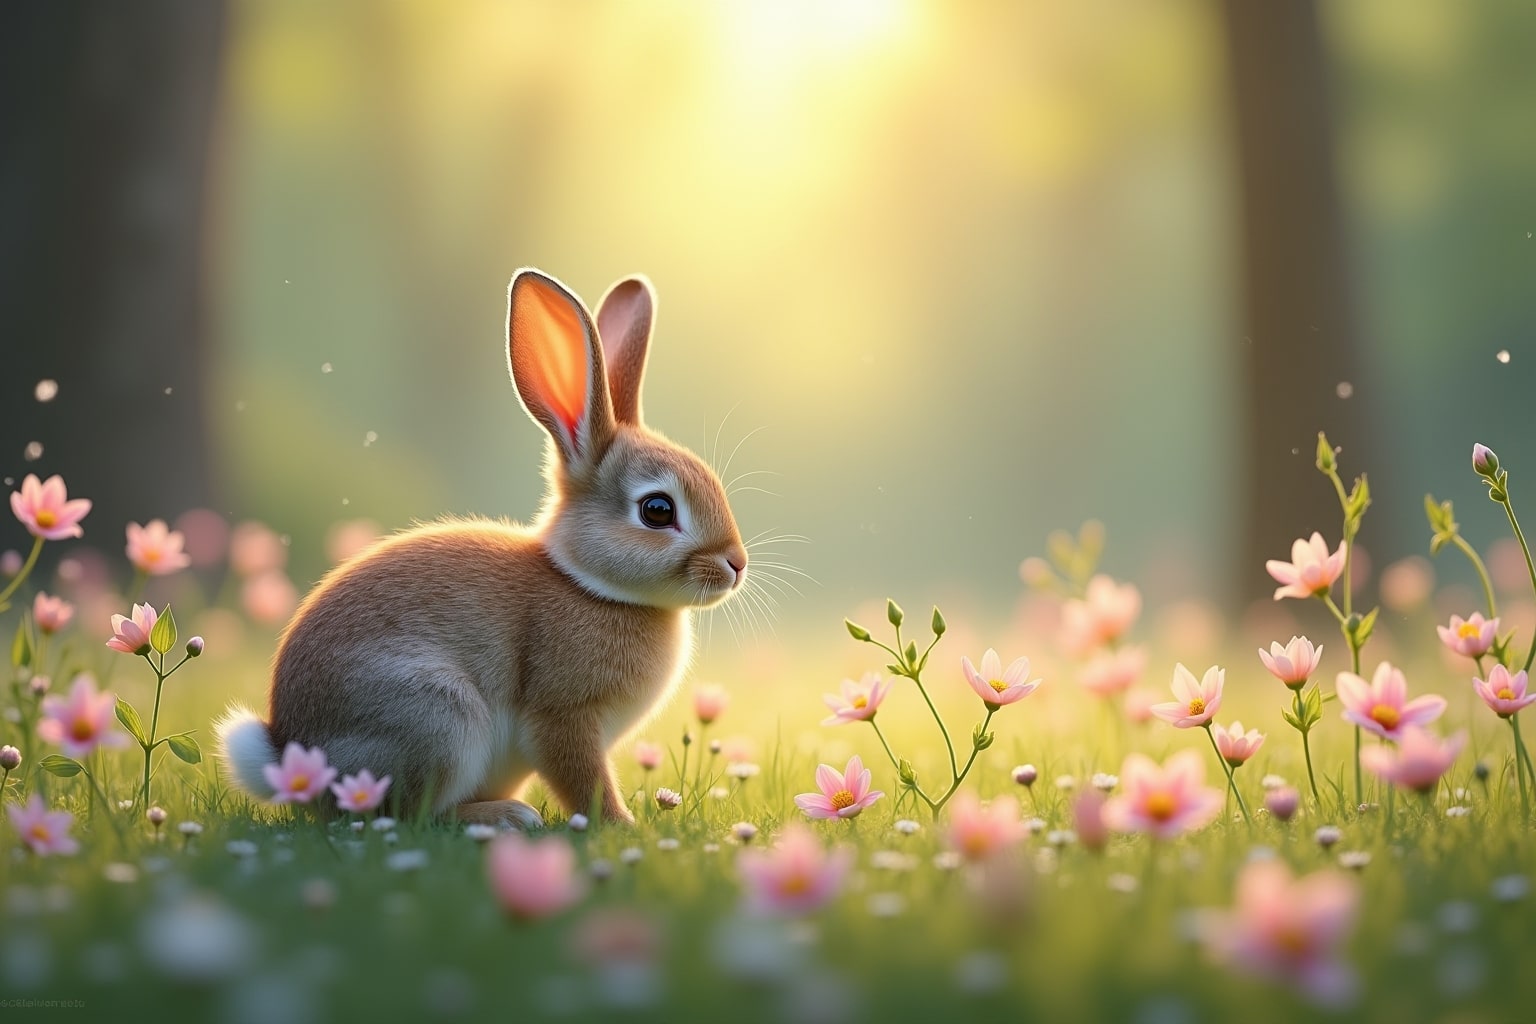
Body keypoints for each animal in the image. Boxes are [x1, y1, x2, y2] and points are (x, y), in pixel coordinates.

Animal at [215, 269, 748, 828]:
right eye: (658, 510)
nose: (736, 564)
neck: (589, 585)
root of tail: (288, 755)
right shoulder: (561, 716)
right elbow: (582, 777)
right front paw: (622, 827)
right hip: (439, 716)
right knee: (410, 814)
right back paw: (505, 817)